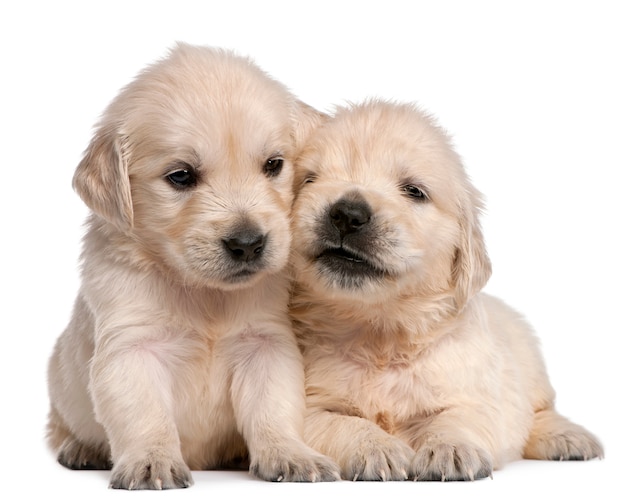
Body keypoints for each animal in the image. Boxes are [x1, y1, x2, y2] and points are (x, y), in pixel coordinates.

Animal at [44, 43, 338, 488]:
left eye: (274, 165)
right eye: (181, 176)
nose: (248, 244)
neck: (205, 294)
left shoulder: (266, 343)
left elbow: (274, 406)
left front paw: (290, 453)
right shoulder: (132, 346)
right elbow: (145, 414)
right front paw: (151, 460)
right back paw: (81, 449)